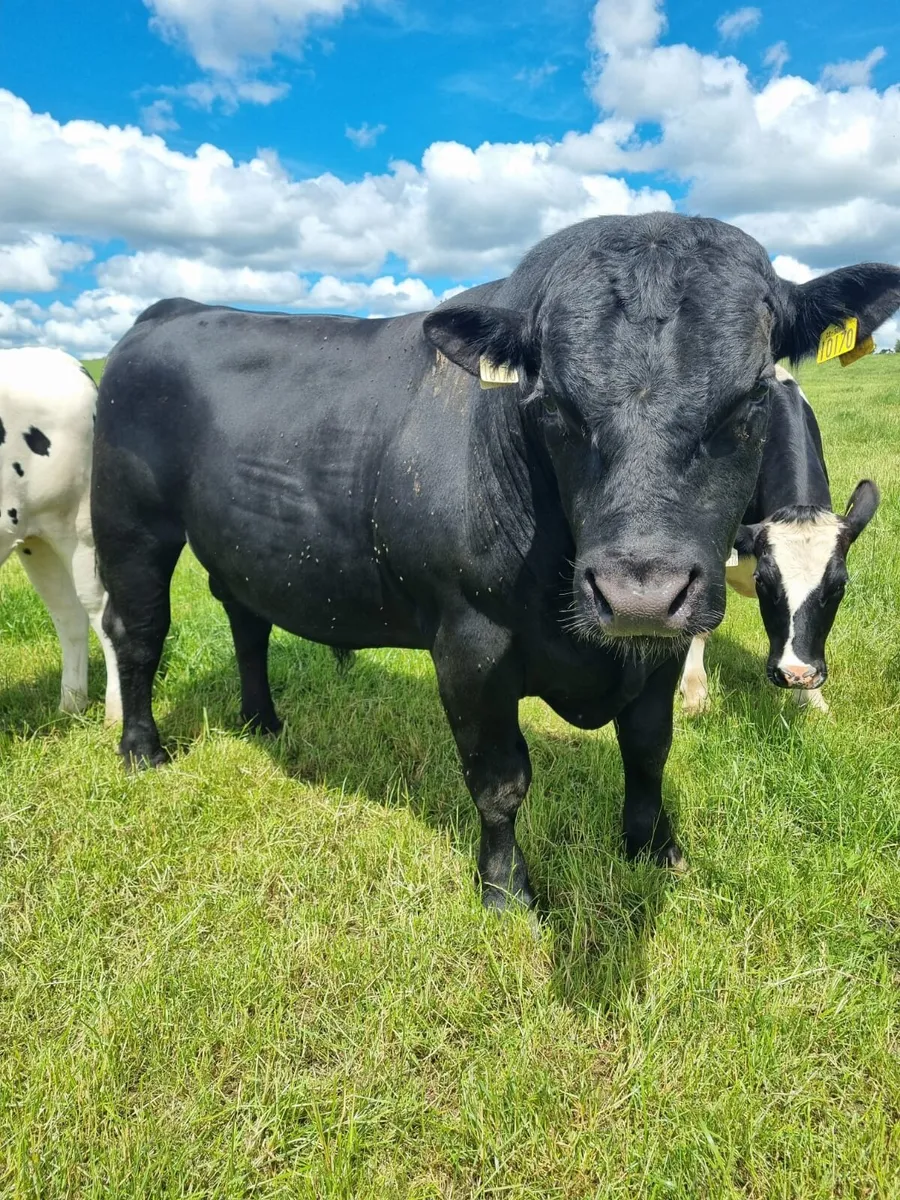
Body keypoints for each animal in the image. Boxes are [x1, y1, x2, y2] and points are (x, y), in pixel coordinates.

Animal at [1, 348, 121, 722]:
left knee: (102, 612)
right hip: (35, 539)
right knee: (68, 613)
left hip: (80, 531)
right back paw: (71, 705)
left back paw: (116, 714)